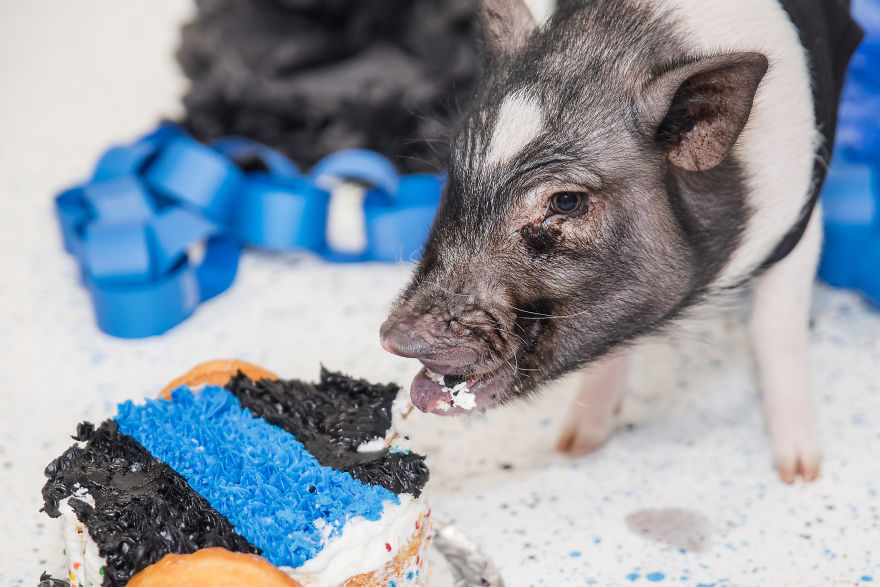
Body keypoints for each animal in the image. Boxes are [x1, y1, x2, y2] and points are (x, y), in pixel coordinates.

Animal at [380, 0, 863, 483]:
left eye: (566, 201)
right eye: (453, 174)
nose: (394, 337)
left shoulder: (799, 218)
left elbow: (775, 331)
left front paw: (800, 474)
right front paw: (576, 446)